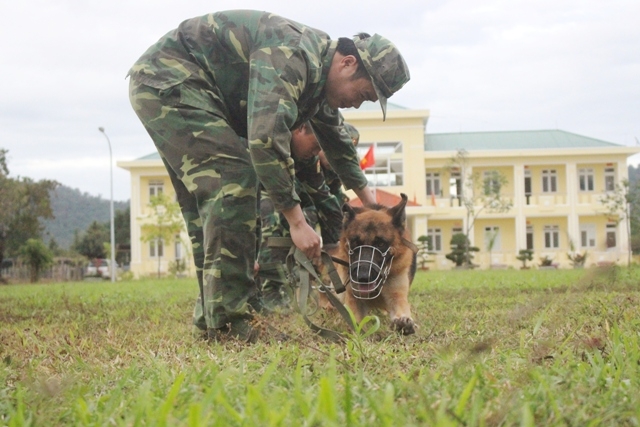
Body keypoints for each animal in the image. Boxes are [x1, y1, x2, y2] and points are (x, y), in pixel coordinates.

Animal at [328, 195, 418, 338]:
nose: (363, 277)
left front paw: (404, 321)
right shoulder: (354, 299)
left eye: (380, 244)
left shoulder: (397, 296)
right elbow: (353, 318)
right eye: (355, 242)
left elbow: (402, 308)